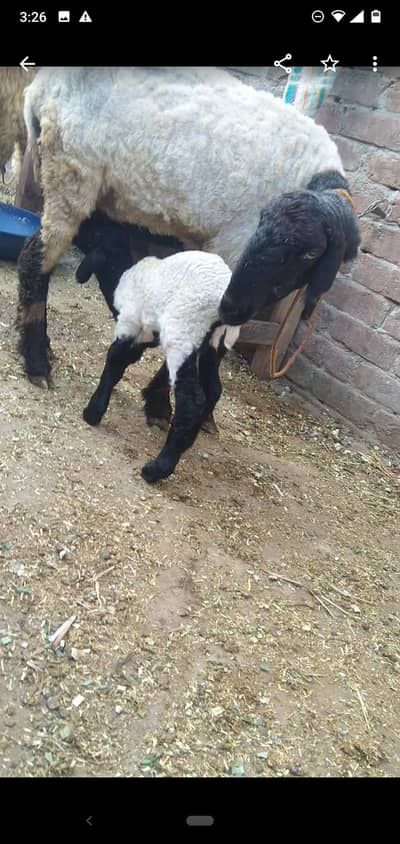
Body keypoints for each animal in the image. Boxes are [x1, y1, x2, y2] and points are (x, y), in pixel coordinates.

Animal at [10, 67, 359, 387]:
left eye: (311, 253)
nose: (234, 307)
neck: (313, 175)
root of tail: (41, 87)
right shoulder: (232, 246)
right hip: (71, 172)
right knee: (35, 257)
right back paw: (37, 360)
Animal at [82, 250, 240, 483]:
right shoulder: (147, 332)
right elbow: (125, 359)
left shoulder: (131, 322)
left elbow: (115, 359)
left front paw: (93, 412)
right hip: (211, 344)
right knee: (213, 389)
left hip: (182, 334)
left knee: (192, 401)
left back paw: (157, 469)